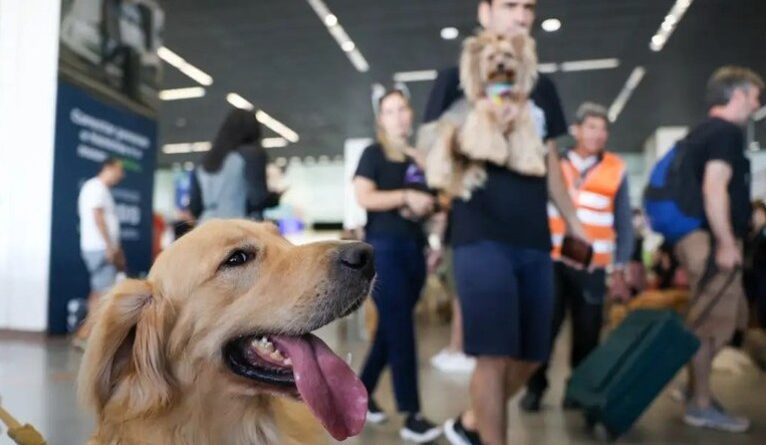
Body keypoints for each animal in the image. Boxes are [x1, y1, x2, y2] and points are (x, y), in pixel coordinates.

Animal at [426, 31, 544, 198]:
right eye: (491, 57)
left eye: (508, 54)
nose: (501, 64)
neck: (500, 91)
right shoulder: (483, 117)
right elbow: (489, 140)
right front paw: (496, 154)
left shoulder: (520, 122)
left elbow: (525, 144)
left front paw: (532, 166)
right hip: (448, 133)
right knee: (439, 156)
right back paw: (438, 178)